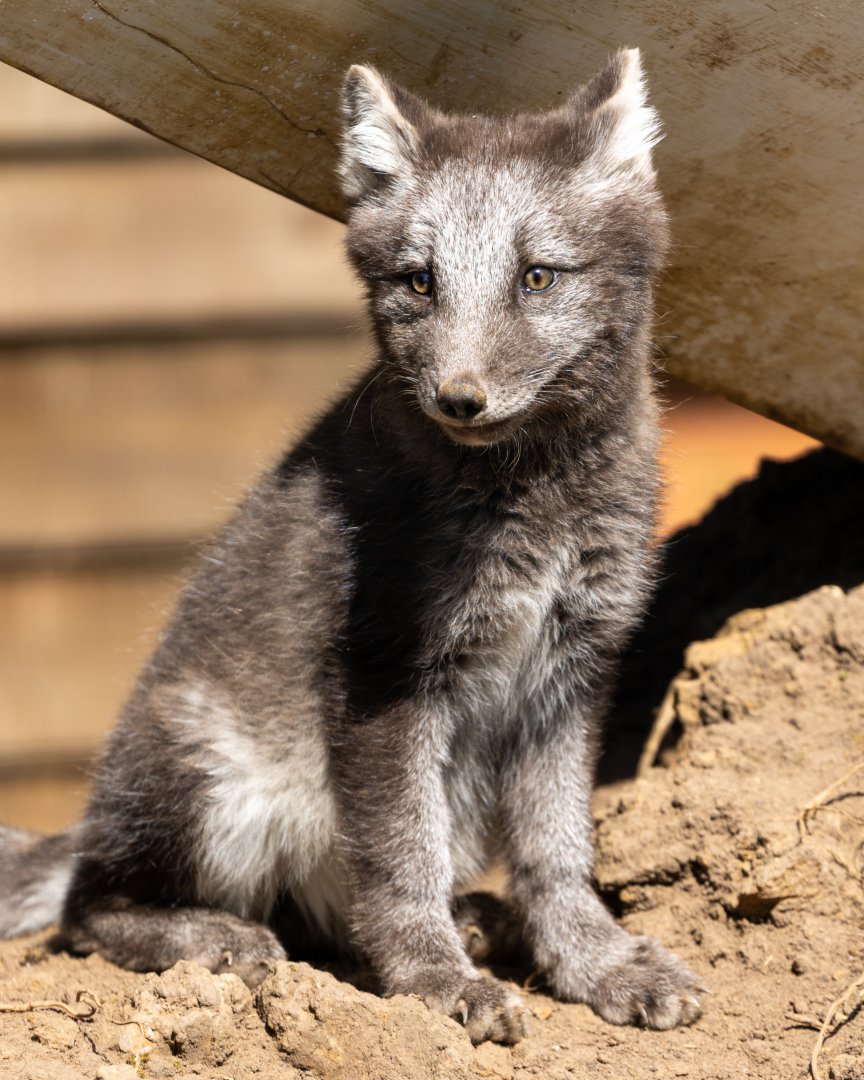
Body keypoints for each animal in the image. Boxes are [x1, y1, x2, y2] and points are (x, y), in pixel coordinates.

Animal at [0, 50, 703, 1044]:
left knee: (326, 912)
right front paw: (438, 988)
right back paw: (217, 938)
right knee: (87, 908)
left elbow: (560, 855)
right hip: (215, 782)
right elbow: (402, 862)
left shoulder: (572, 676)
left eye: (537, 277)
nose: (459, 398)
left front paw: (595, 965)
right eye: (420, 281)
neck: (535, 507)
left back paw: (469, 921)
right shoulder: (388, 674)